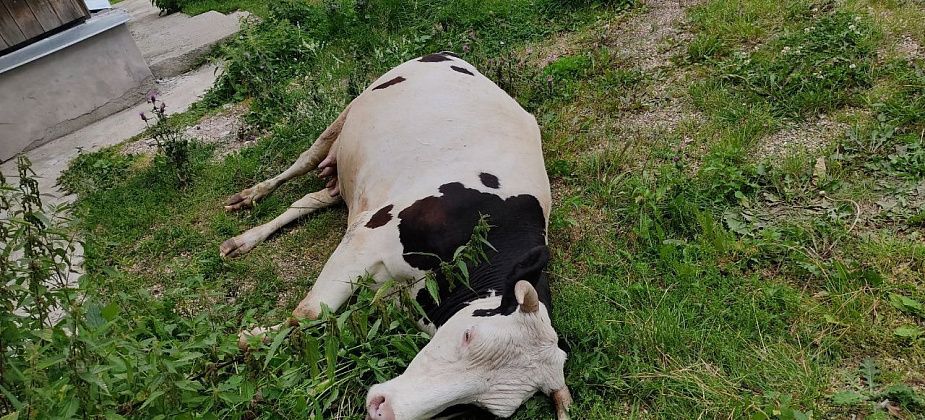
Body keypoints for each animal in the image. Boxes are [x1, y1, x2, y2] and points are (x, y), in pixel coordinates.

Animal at [221, 52, 571, 420]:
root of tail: (449, 54)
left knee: (311, 199)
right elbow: (311, 313)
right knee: (301, 163)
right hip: (347, 114)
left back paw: (245, 239)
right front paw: (252, 338)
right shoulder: (369, 235)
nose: (382, 410)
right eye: (468, 335)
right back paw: (246, 210)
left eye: (478, 408)